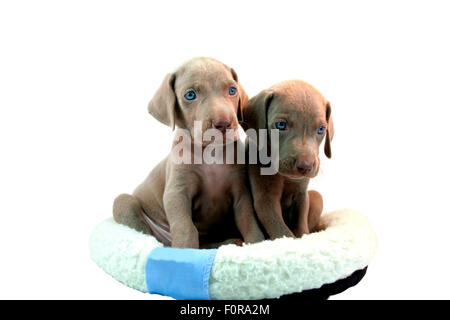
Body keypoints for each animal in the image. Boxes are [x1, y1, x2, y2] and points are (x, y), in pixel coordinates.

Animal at [114, 57, 266, 248]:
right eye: (190, 95)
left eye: (232, 90)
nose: (224, 123)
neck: (210, 153)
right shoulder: (177, 192)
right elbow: (186, 227)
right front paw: (184, 251)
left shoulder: (241, 192)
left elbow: (249, 222)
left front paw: (257, 245)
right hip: (124, 202)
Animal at [243, 79, 334, 239]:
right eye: (281, 125)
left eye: (321, 129)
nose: (306, 166)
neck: (285, 177)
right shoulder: (265, 201)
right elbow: (283, 232)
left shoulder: (301, 195)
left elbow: (301, 226)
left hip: (316, 197)